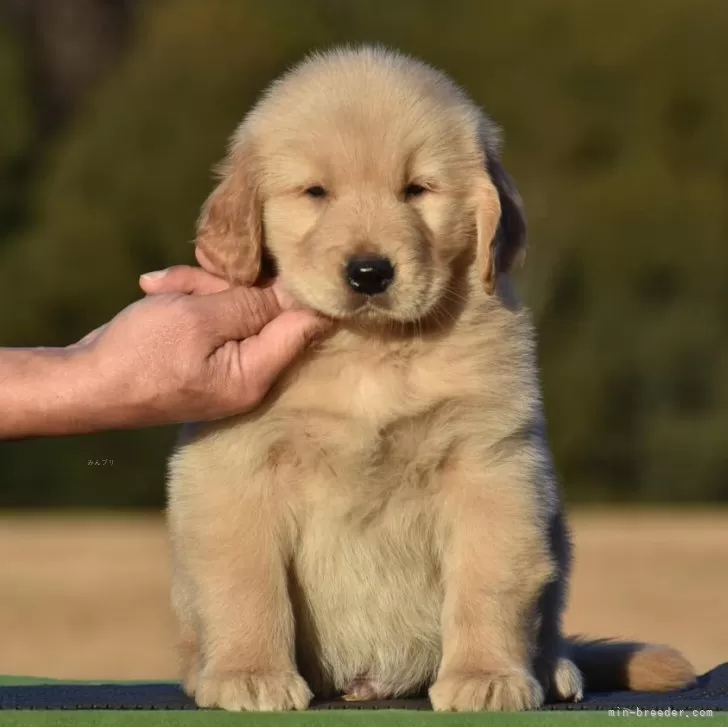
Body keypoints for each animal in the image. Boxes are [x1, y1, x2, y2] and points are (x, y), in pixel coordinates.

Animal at [165, 44, 692, 712]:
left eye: (417, 189)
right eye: (316, 192)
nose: (369, 273)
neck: (369, 350)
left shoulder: (491, 466)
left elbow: (490, 580)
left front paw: (487, 675)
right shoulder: (234, 467)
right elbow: (246, 581)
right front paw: (249, 672)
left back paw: (552, 669)